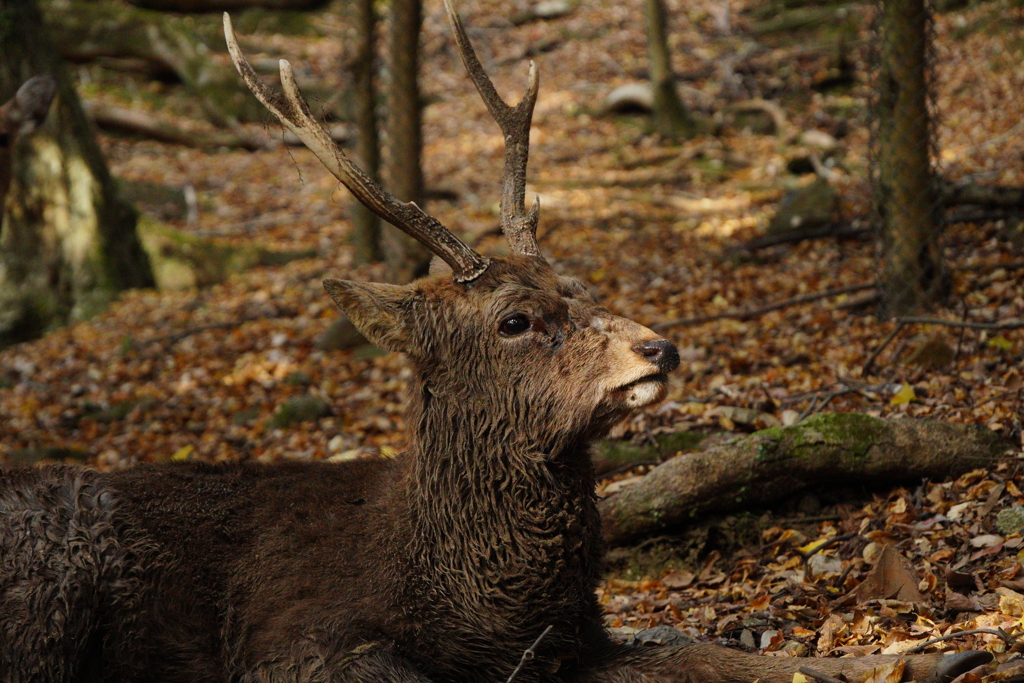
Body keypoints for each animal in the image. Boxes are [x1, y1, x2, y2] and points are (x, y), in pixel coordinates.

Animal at [0, 2, 991, 679]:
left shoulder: (582, 637)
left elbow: (697, 642)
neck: (477, 597)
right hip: (49, 572)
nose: (660, 349)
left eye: (585, 286)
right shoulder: (294, 640)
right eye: (515, 319)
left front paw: (925, 652)